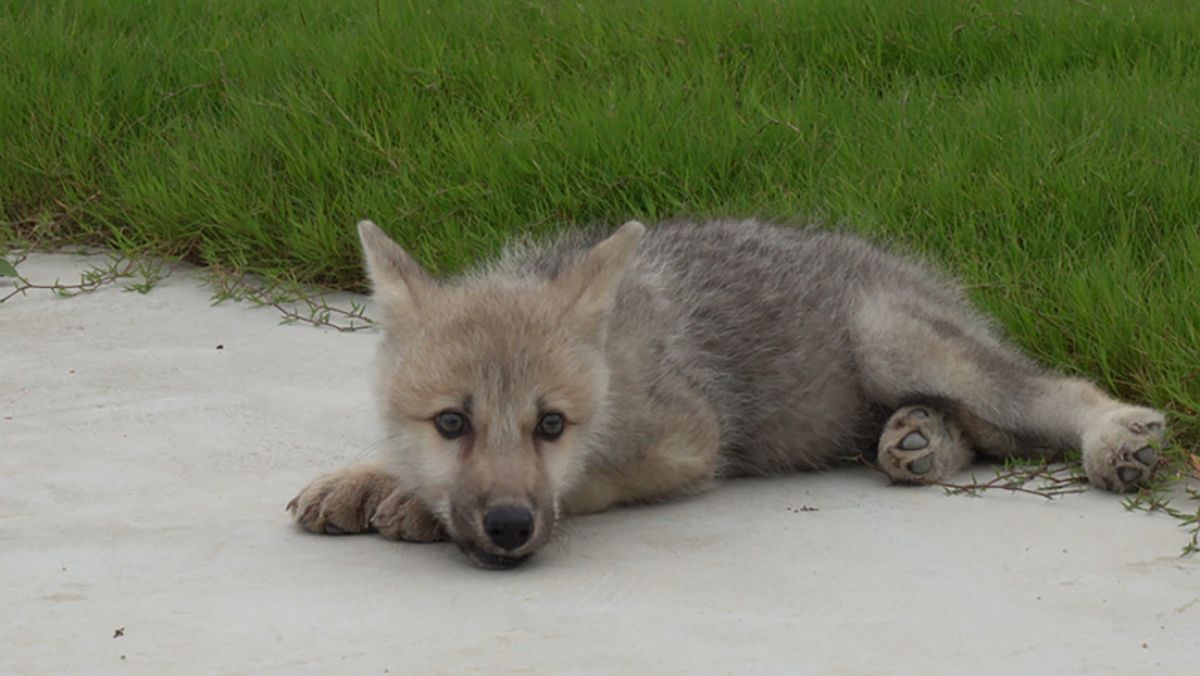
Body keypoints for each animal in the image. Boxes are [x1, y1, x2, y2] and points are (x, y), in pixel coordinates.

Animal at [288, 219, 1166, 568]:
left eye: (552, 425)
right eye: (450, 422)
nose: (508, 529)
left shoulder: (690, 446)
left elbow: (588, 484)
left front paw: (410, 502)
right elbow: (392, 453)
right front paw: (370, 477)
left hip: (893, 339)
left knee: (1046, 394)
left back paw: (1115, 436)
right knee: (983, 432)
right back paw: (919, 439)